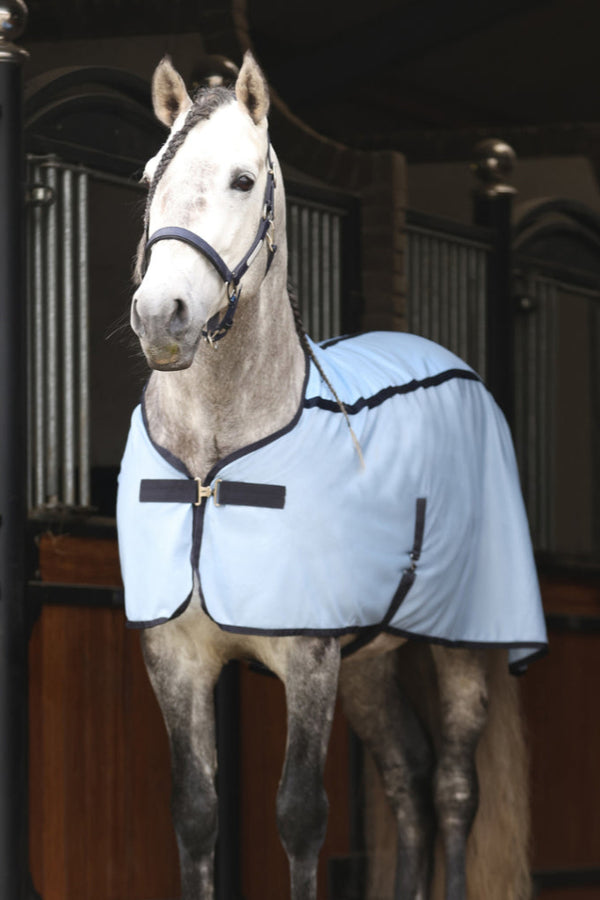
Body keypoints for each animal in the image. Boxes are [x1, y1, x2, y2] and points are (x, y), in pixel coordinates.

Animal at [117, 50, 547, 899]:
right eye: (151, 174)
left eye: (244, 179)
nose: (161, 315)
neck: (213, 466)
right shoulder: (175, 656)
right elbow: (196, 814)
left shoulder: (309, 657)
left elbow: (299, 816)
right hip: (373, 665)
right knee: (408, 778)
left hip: (458, 645)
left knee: (454, 787)